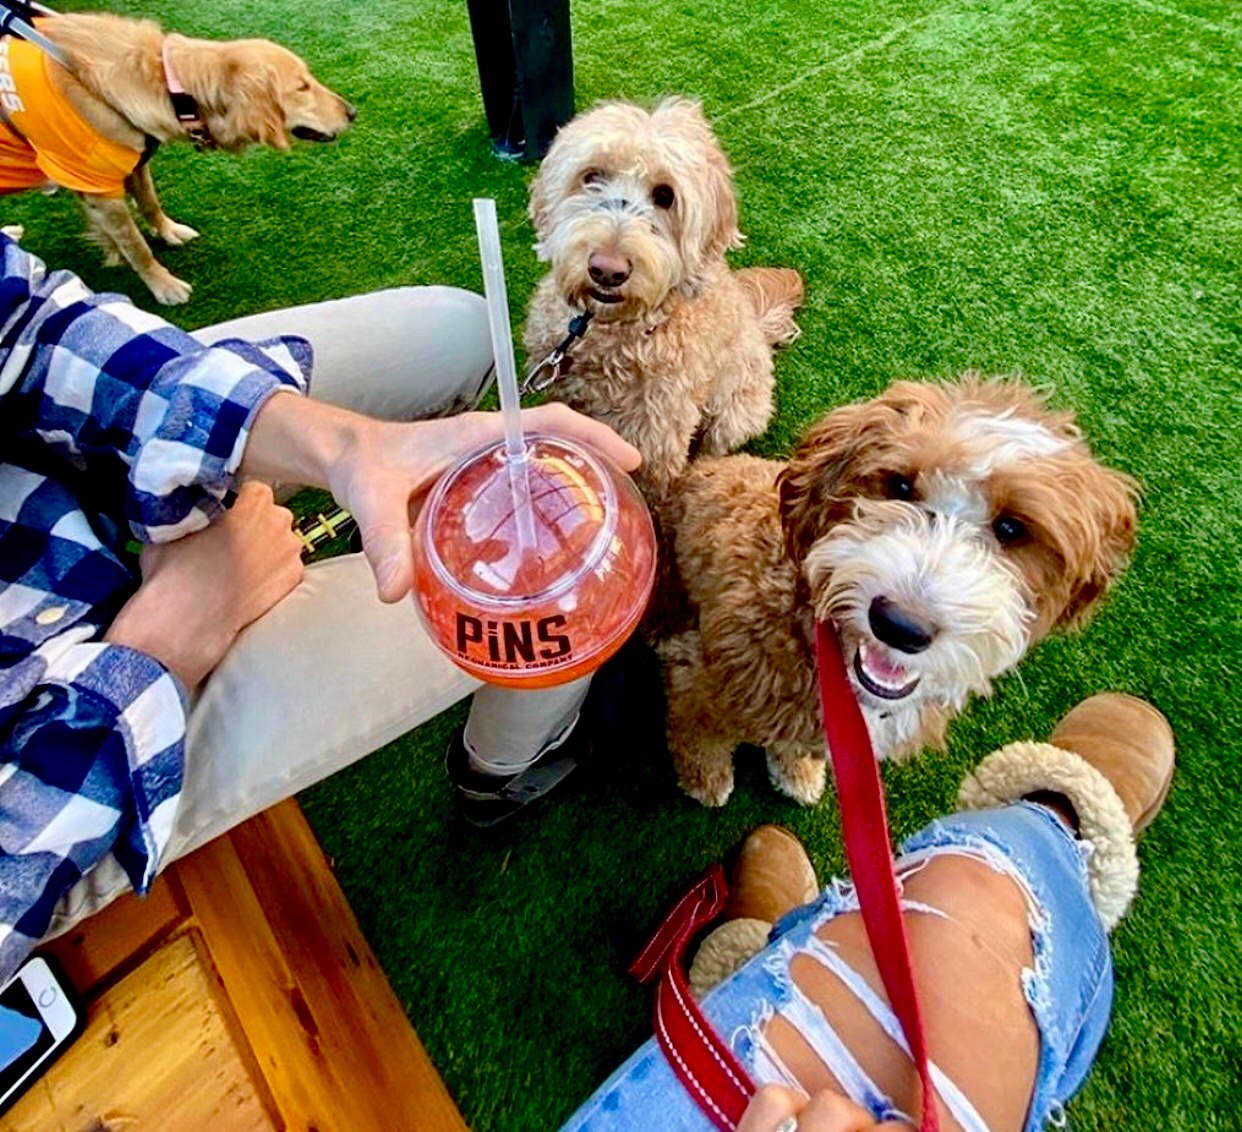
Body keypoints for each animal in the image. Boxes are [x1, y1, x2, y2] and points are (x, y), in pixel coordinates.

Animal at [0, 13, 354, 304]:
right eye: (302, 87)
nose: (352, 112)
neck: (166, 86)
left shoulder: (135, 163)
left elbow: (150, 203)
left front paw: (168, 231)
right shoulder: (98, 189)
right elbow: (136, 246)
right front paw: (164, 285)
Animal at [524, 97, 803, 500]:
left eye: (665, 196)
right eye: (591, 177)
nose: (607, 269)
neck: (611, 332)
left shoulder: (656, 439)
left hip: (738, 414)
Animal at [660, 376, 1138, 806]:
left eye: (1011, 528)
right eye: (901, 486)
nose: (900, 625)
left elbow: (795, 747)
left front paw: (797, 773)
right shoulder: (699, 688)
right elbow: (697, 738)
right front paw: (707, 781)